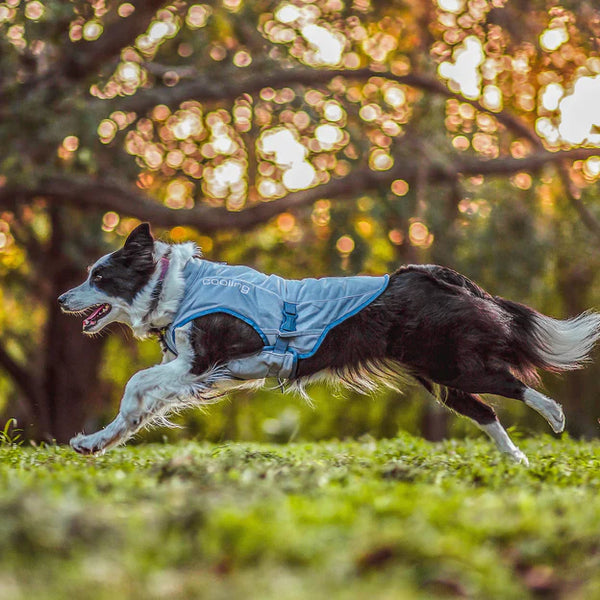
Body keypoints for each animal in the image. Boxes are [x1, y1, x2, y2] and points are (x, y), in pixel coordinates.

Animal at [57, 223, 600, 462]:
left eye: (99, 276)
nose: (62, 299)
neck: (176, 285)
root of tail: (429, 272)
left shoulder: (199, 363)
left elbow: (134, 384)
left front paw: (102, 434)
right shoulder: (195, 372)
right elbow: (137, 408)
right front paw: (94, 442)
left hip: (453, 364)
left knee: (513, 384)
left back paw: (555, 418)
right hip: (438, 375)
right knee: (485, 410)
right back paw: (515, 459)